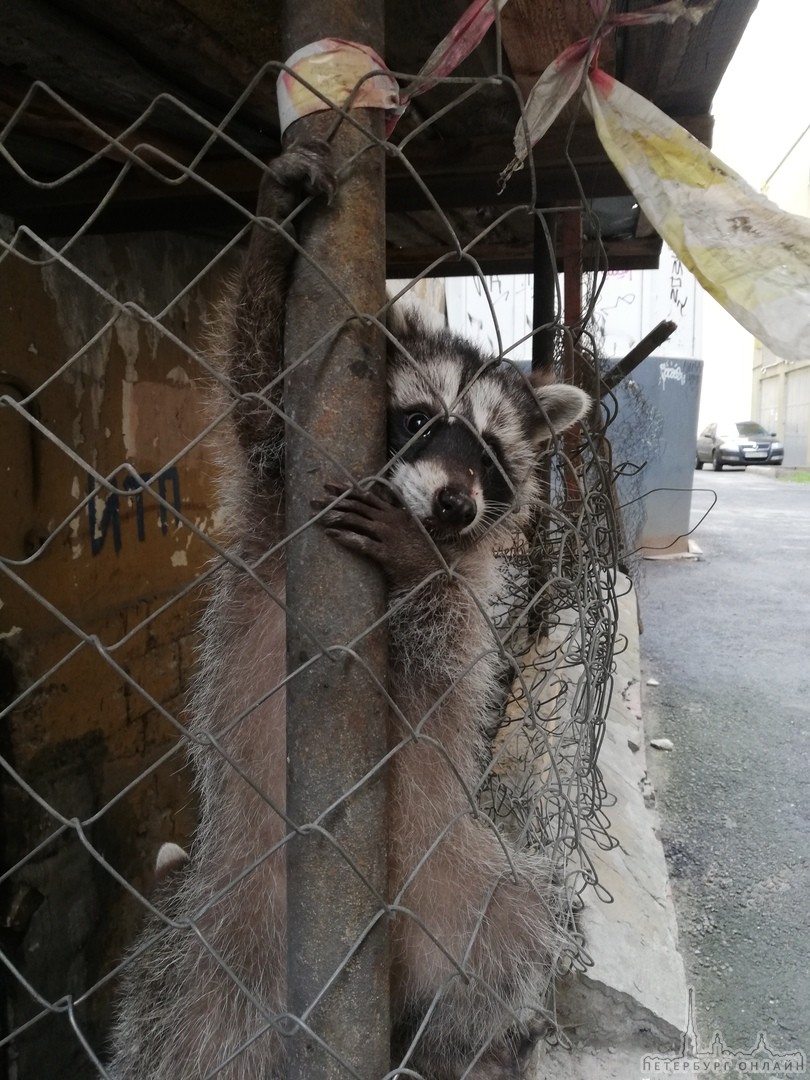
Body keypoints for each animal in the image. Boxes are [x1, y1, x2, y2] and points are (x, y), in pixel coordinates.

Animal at [108, 143, 591, 1080]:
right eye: (417, 422)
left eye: (492, 457)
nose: (453, 506)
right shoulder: (279, 494)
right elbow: (260, 389)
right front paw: (272, 233)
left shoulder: (477, 583)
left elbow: (450, 644)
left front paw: (416, 561)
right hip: (216, 947)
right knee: (180, 1033)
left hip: (460, 879)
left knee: (518, 925)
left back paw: (479, 1039)